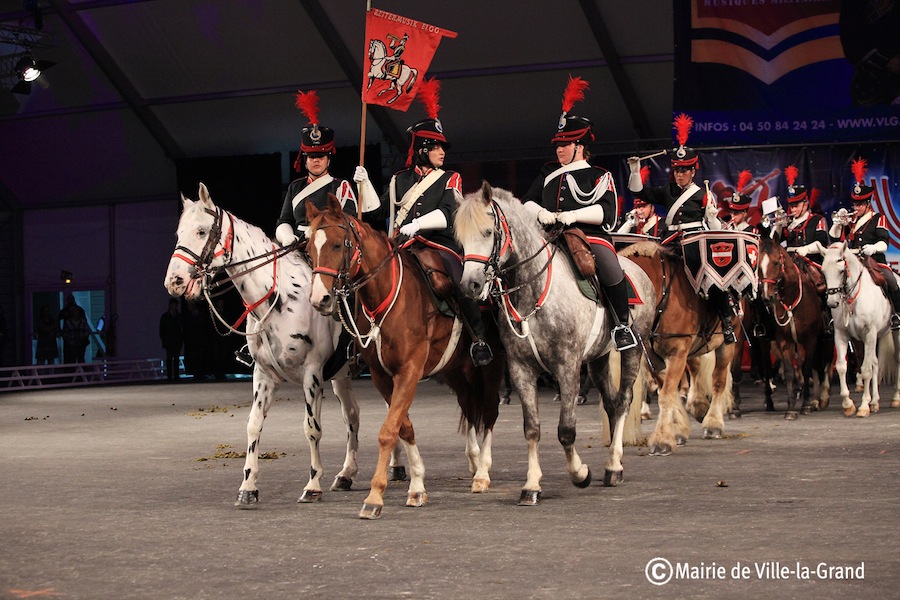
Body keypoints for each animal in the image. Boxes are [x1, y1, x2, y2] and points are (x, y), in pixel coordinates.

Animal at [165, 184, 366, 506]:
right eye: (178, 233)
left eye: (201, 231)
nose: (174, 281)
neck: (277, 299)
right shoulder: (263, 375)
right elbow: (253, 423)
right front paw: (248, 486)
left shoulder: (312, 373)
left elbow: (312, 428)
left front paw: (313, 485)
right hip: (341, 374)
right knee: (353, 415)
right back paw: (347, 474)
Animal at [306, 195, 506, 516]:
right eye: (309, 248)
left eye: (338, 245)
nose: (319, 299)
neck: (387, 297)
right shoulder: (383, 376)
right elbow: (405, 426)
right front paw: (417, 485)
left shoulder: (409, 371)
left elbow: (389, 430)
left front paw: (375, 496)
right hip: (455, 370)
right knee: (467, 406)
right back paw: (475, 462)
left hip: (491, 367)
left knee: (488, 412)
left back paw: (483, 473)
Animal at [620, 241, 740, 458]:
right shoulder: (653, 359)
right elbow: (668, 392)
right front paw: (676, 429)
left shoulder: (677, 352)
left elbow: (666, 396)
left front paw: (662, 439)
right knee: (696, 368)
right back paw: (698, 405)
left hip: (726, 344)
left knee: (718, 380)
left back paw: (713, 423)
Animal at [756, 237, 832, 420]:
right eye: (759, 266)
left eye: (776, 263)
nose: (767, 297)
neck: (791, 300)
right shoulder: (785, 341)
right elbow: (791, 371)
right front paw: (791, 408)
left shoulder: (810, 339)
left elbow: (806, 369)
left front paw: (805, 405)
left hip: (825, 340)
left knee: (824, 364)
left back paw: (821, 397)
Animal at [824, 243, 900, 418]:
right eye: (823, 271)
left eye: (841, 270)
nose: (832, 303)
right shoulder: (841, 334)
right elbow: (842, 366)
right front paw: (848, 404)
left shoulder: (870, 333)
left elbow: (865, 370)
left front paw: (864, 405)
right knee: (875, 362)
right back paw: (875, 402)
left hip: (895, 332)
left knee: (897, 359)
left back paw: (895, 398)